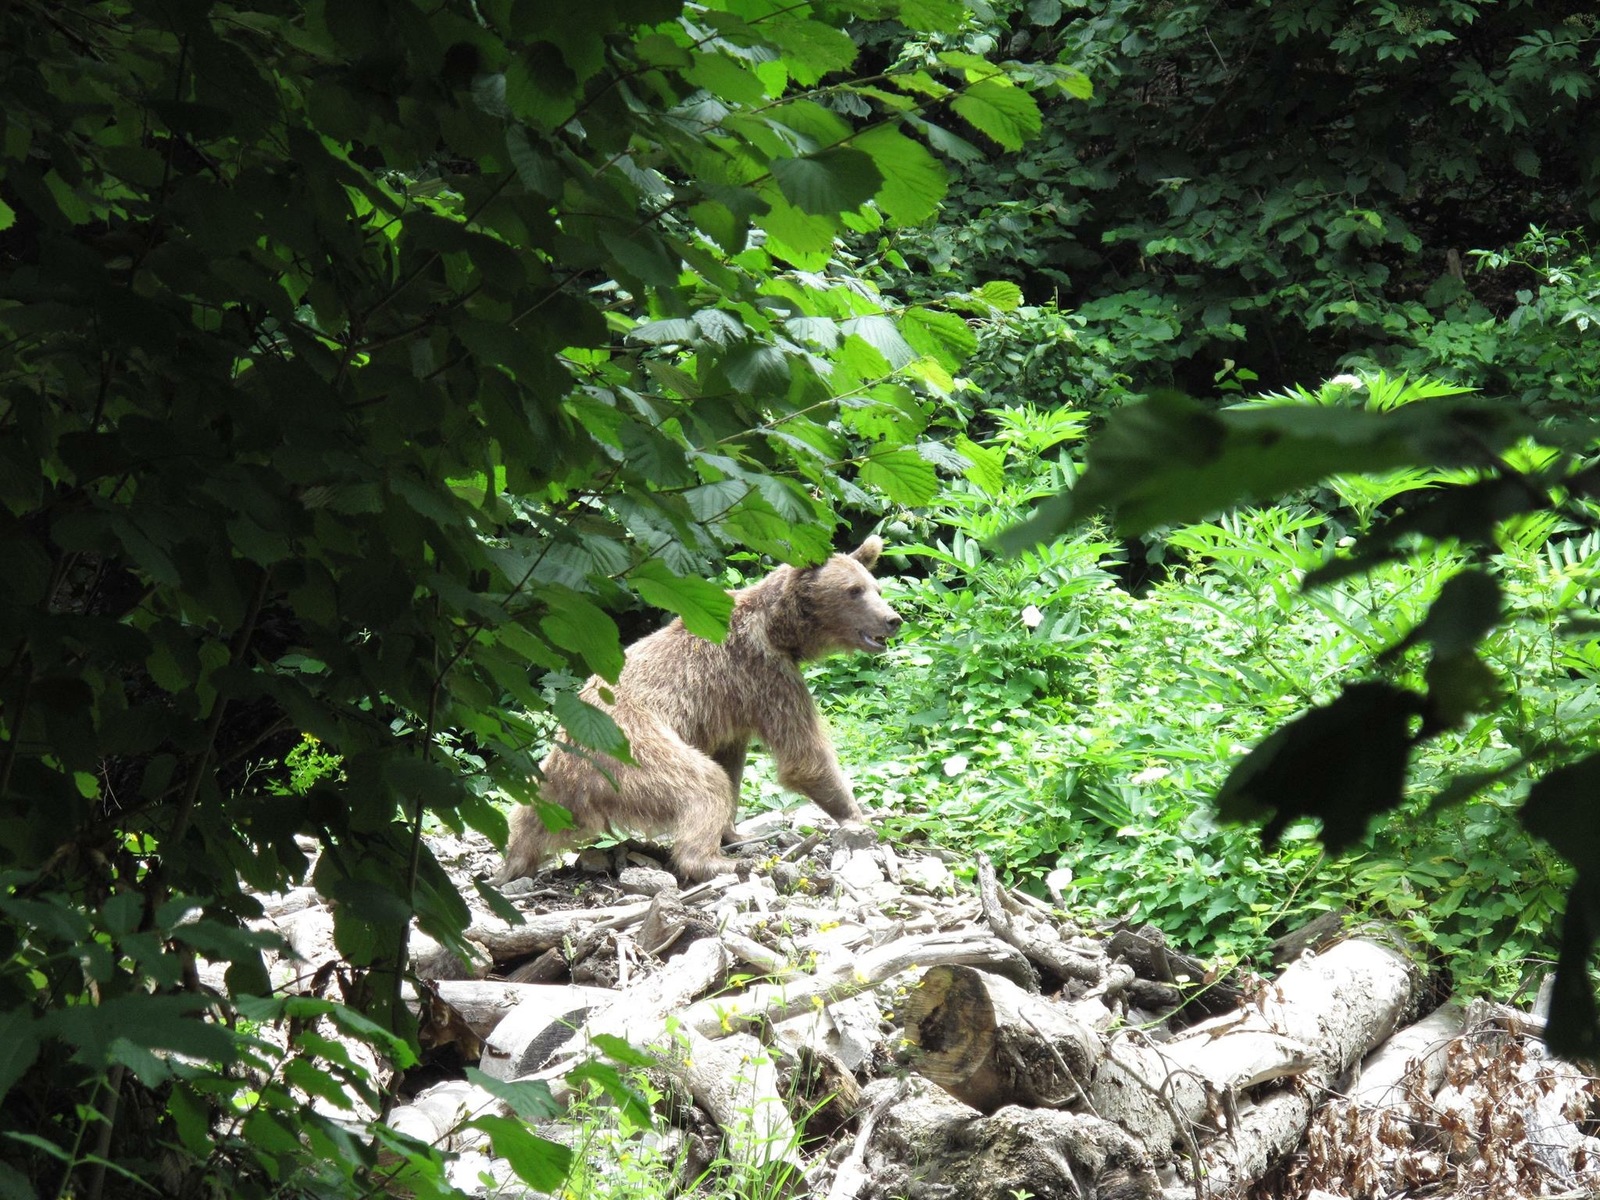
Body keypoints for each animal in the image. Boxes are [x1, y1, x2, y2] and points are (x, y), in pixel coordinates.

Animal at [499, 537, 902, 883]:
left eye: (877, 589)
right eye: (854, 590)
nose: (892, 619)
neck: (779, 630)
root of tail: (579, 780)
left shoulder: (731, 709)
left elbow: (733, 761)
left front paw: (732, 830)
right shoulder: (764, 676)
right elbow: (805, 755)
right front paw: (860, 818)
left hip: (556, 778)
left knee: (527, 813)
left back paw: (513, 861)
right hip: (632, 752)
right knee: (703, 785)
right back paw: (719, 862)